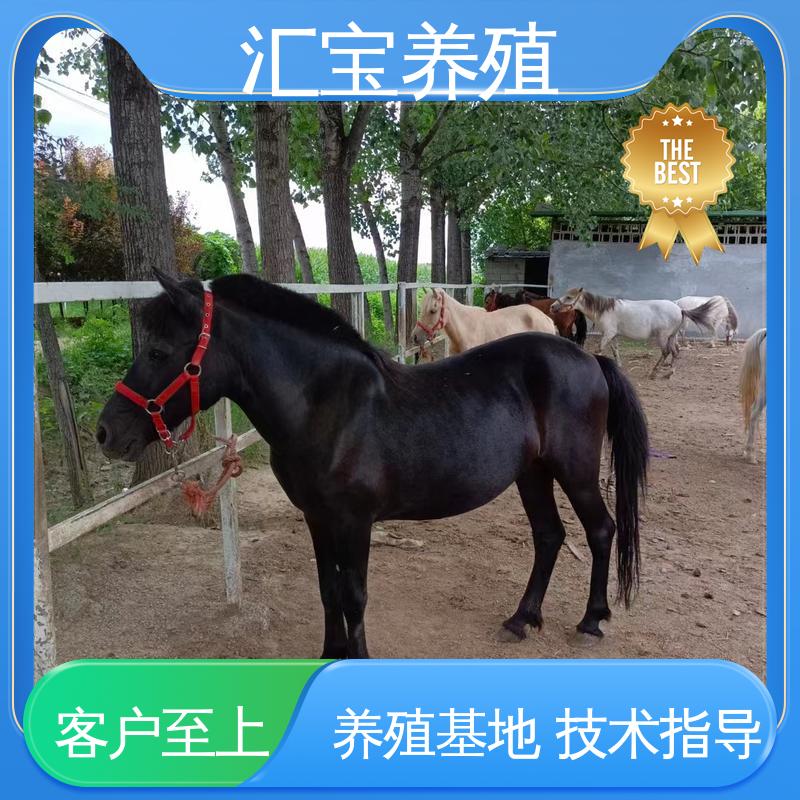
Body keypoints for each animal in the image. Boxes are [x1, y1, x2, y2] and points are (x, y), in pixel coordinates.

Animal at [551, 287, 724, 378]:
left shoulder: (608, 334)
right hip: (672, 336)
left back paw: (654, 372)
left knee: (666, 352)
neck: (605, 310)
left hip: (662, 337)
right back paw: (669, 372)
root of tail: (679, 309)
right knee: (675, 351)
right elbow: (615, 351)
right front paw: (619, 366)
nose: (553, 307)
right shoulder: (613, 335)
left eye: (569, 297)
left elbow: (599, 349)